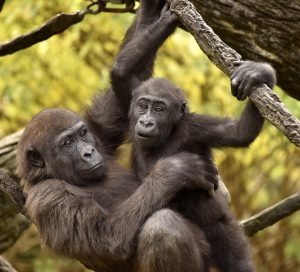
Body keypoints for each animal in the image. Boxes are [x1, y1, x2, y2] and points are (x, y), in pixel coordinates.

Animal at [129, 62, 276, 272]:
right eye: (142, 106)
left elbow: (238, 132)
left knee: (232, 248)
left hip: (225, 235)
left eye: (159, 109)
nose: (146, 122)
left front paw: (259, 73)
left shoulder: (194, 128)